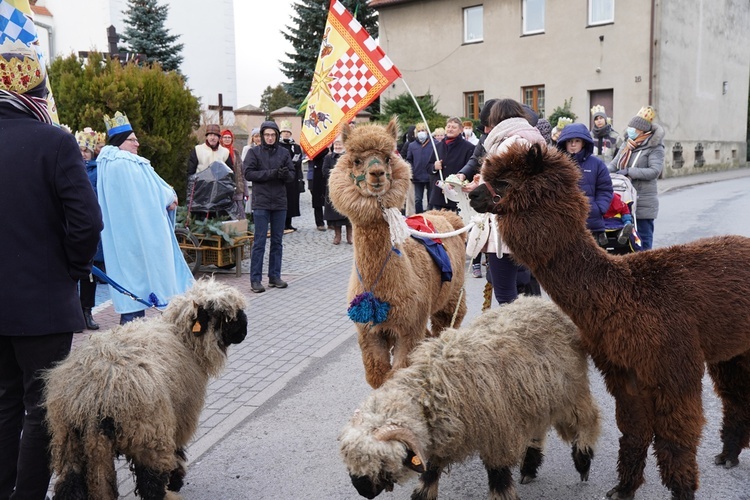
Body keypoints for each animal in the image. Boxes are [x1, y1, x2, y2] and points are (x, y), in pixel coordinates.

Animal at [42, 278, 248, 500]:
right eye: (225, 316)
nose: (244, 332)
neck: (181, 338)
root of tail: (92, 395)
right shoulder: (180, 414)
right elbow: (177, 451)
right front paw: (176, 479)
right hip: (149, 435)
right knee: (151, 484)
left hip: (68, 441)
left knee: (69, 486)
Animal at [330, 118, 468, 390]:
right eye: (356, 160)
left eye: (387, 157)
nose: (377, 174)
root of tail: (445, 214)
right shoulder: (369, 332)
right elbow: (378, 377)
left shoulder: (409, 328)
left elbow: (397, 375)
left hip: (452, 297)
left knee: (447, 327)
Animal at [338, 294, 604, 498]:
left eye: (383, 461)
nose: (363, 491)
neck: (430, 389)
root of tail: (539, 301)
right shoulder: (440, 442)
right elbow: (428, 478)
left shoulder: (497, 438)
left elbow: (499, 481)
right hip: (533, 398)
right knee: (537, 431)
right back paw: (529, 467)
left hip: (570, 391)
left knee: (589, 418)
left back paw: (583, 461)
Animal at [470, 143, 750, 498]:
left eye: (503, 182)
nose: (471, 194)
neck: (623, 292)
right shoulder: (623, 371)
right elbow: (633, 431)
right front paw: (623, 488)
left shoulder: (673, 367)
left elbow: (676, 436)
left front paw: (683, 490)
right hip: (731, 350)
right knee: (735, 396)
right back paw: (728, 455)